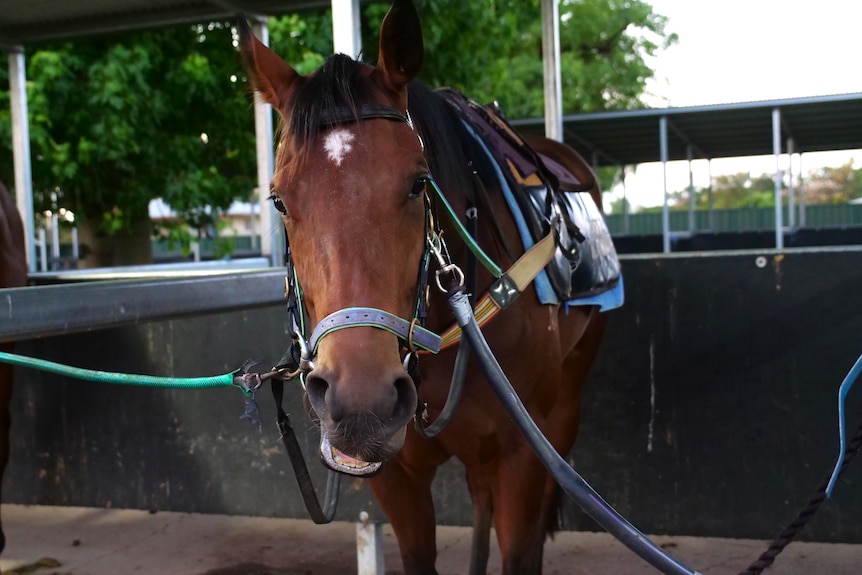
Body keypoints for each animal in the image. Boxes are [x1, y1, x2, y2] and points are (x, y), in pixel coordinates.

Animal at [240, 2, 612, 572]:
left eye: (419, 183)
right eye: (279, 199)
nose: (360, 400)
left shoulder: (523, 457)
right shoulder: (397, 475)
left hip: (564, 403)